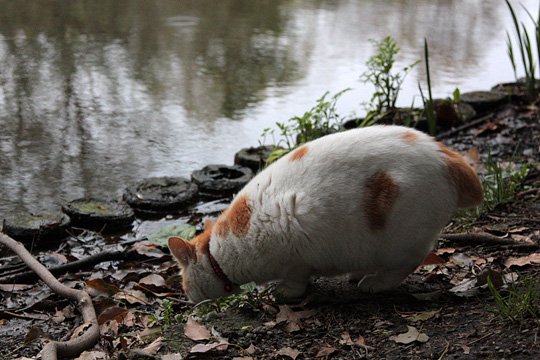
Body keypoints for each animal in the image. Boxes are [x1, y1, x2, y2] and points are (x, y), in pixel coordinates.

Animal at [168, 125, 480, 302]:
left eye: (184, 284)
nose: (187, 300)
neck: (221, 252)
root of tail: (447, 155)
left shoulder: (293, 244)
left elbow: (296, 282)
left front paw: (283, 292)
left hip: (401, 240)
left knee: (410, 261)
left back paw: (375, 283)